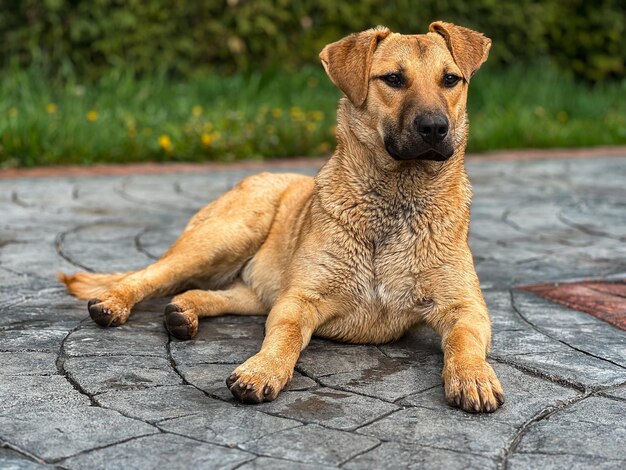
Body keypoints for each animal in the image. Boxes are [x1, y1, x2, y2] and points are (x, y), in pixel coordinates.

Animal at [59, 22, 502, 412]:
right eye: (393, 79)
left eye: (451, 80)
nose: (435, 128)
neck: (396, 201)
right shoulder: (299, 299)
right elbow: (285, 337)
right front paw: (264, 369)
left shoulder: (466, 308)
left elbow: (463, 341)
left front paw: (473, 375)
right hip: (225, 238)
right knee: (150, 275)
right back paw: (115, 301)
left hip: (254, 284)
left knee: (219, 294)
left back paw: (184, 311)